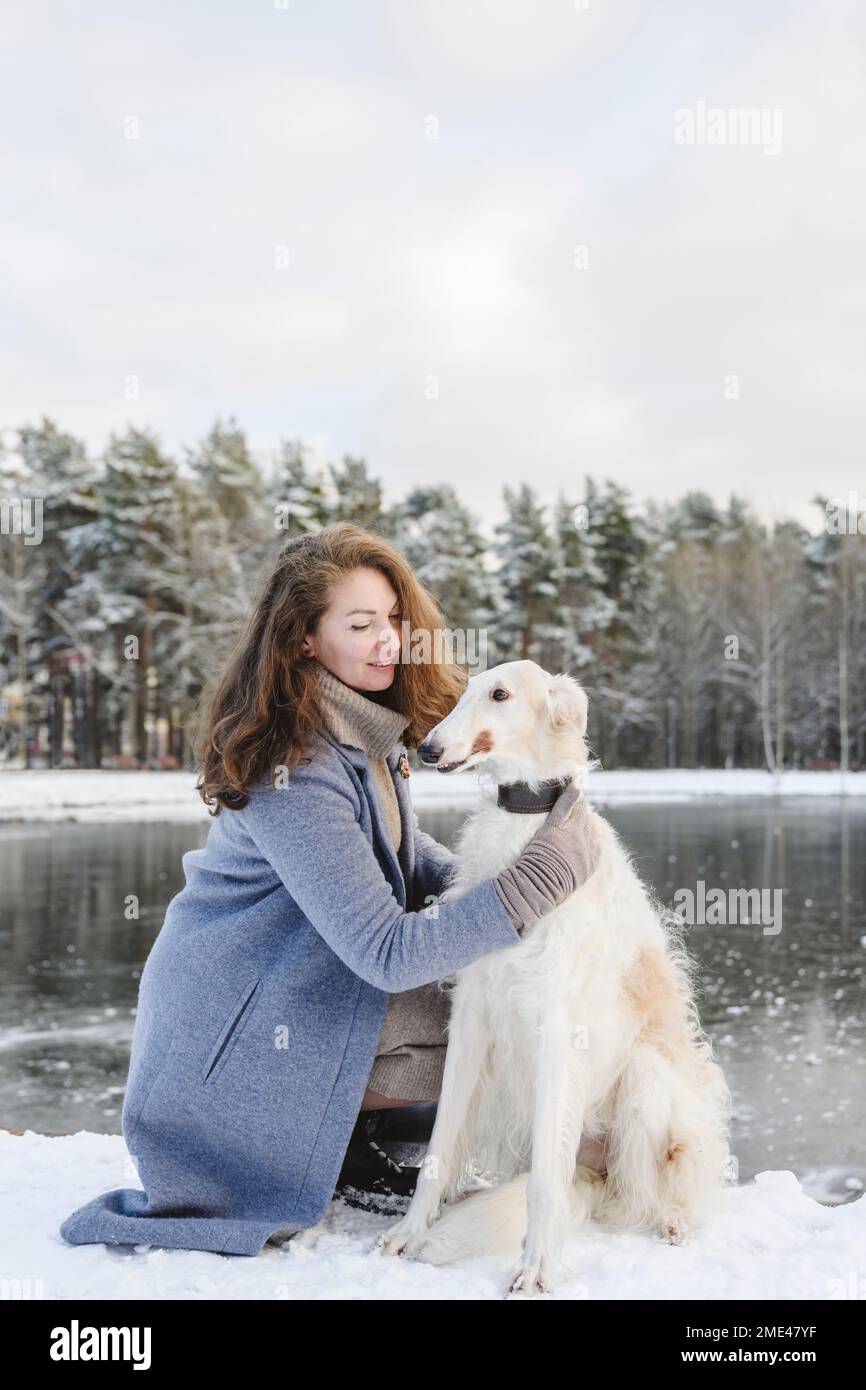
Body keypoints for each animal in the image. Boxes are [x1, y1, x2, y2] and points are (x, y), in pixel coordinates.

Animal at [378, 658, 733, 1289]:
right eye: (466, 691)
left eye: (500, 694)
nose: (428, 748)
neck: (527, 818)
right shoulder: (472, 1020)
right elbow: (438, 1153)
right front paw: (409, 1233)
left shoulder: (556, 1031)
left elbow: (544, 1184)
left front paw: (537, 1268)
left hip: (647, 1080)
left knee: (663, 1190)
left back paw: (672, 1221)